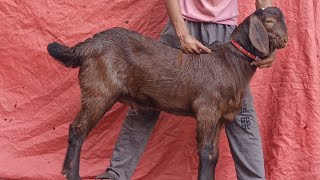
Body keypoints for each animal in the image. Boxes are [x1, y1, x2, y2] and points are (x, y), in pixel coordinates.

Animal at [47, 7, 288, 180]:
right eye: (268, 21)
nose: (285, 40)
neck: (230, 62)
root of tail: (87, 46)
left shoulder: (220, 118)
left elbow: (215, 155)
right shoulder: (207, 109)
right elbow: (206, 152)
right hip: (99, 90)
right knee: (78, 130)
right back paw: (73, 175)